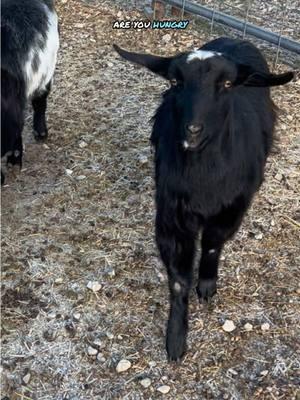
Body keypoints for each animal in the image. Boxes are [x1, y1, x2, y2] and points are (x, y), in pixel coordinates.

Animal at [114, 37, 296, 360]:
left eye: (227, 84)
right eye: (175, 81)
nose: (193, 130)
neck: (203, 182)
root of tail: (235, 38)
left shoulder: (233, 207)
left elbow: (212, 244)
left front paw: (207, 285)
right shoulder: (171, 215)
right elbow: (177, 279)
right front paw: (176, 339)